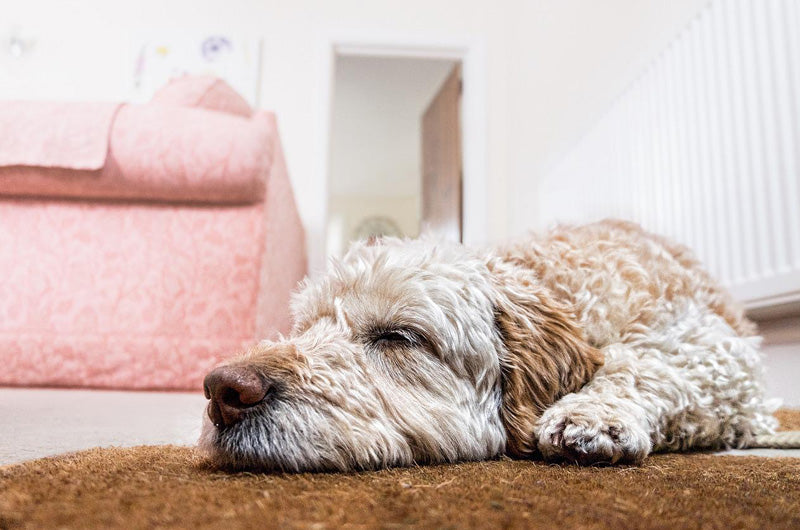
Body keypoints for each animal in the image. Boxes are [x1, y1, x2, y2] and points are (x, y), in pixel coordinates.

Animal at [197, 219, 780, 470]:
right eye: (304, 328)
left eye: (398, 337)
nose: (222, 390)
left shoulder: (713, 347)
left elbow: (646, 364)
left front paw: (594, 413)